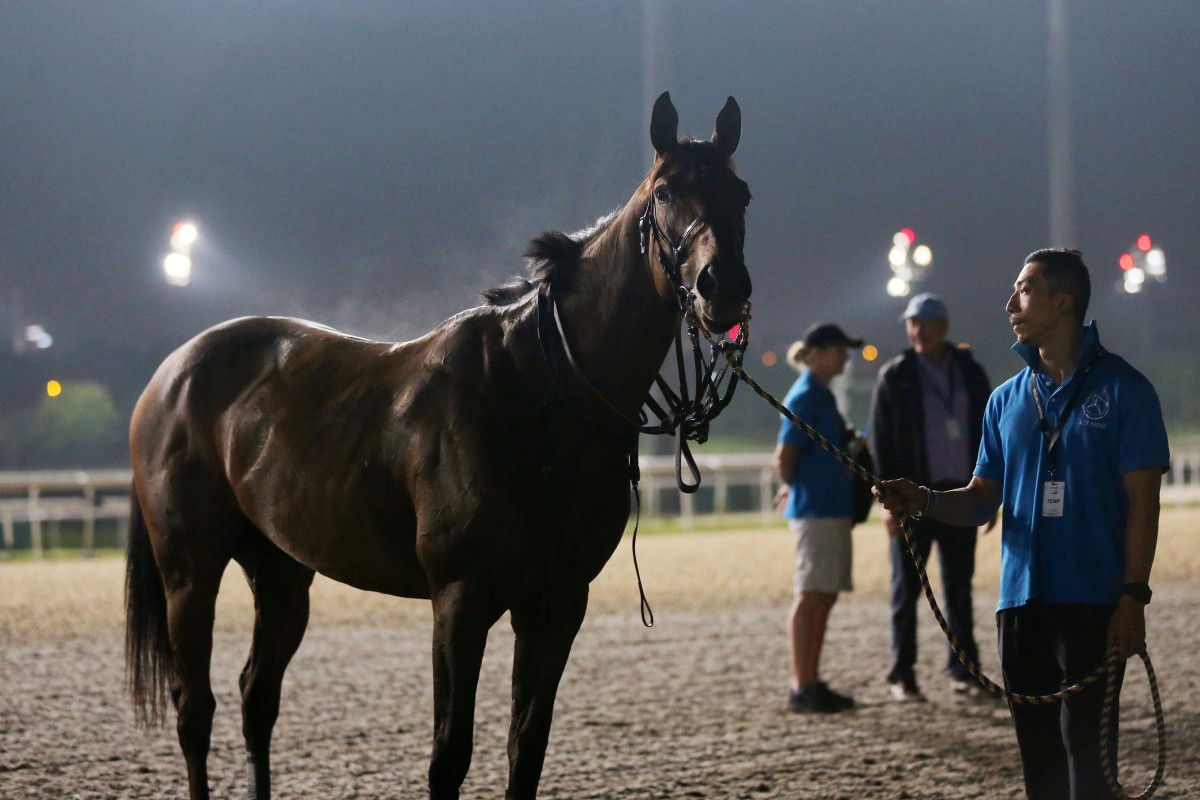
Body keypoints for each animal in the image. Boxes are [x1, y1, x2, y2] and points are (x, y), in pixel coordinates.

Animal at [129, 90, 748, 796]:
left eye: (742, 193)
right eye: (667, 190)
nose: (723, 285)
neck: (540, 391)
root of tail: (172, 373)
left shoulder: (558, 601)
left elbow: (527, 747)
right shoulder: (460, 599)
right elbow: (449, 754)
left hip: (280, 569)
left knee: (256, 697)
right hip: (189, 570)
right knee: (194, 708)